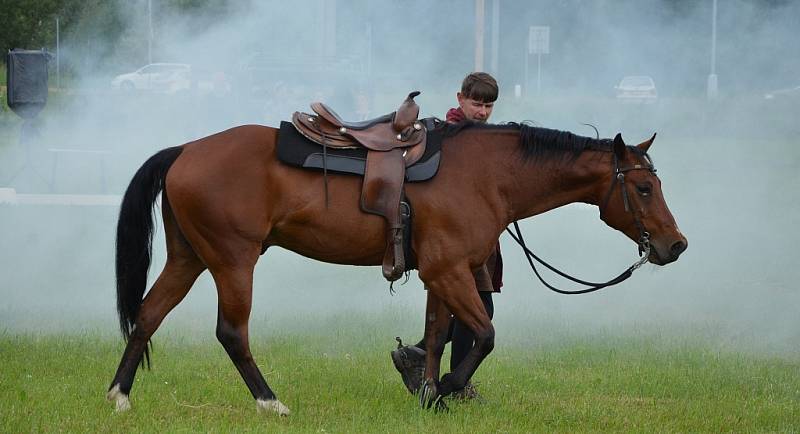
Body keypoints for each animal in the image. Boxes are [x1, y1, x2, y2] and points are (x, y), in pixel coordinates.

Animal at [103, 121, 684, 414]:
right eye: (643, 187)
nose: (675, 245)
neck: (486, 173)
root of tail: (185, 150)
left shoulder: (440, 273)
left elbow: (437, 333)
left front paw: (427, 391)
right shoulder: (449, 271)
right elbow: (484, 334)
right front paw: (445, 388)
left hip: (188, 258)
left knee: (148, 316)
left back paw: (120, 396)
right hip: (232, 260)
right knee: (231, 332)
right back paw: (270, 403)